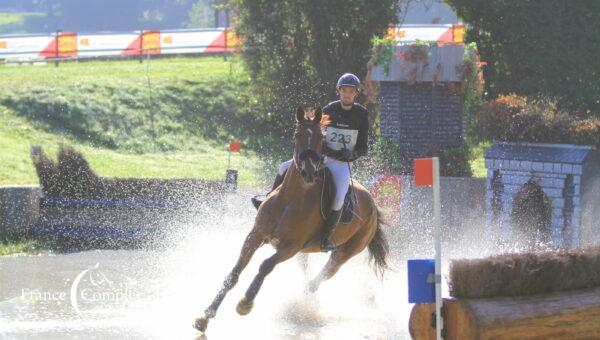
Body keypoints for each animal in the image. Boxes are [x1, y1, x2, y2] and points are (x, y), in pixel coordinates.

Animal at [192, 105, 390, 332]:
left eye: (321, 138)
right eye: (297, 135)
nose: (309, 173)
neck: (291, 199)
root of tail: (373, 204)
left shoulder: (290, 247)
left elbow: (265, 266)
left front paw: (246, 303)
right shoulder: (256, 235)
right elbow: (234, 273)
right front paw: (206, 316)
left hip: (346, 251)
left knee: (324, 274)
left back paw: (303, 303)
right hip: (306, 252)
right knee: (307, 271)